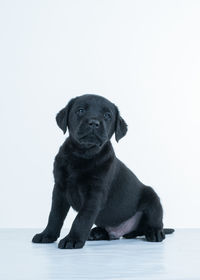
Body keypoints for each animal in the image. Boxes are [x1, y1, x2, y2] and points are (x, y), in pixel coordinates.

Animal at [31, 94, 173, 249]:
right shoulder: (59, 189)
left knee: (155, 219)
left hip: (152, 198)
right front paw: (47, 235)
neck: (82, 154)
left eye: (107, 115)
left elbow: (82, 218)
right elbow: (54, 215)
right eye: (80, 110)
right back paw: (97, 233)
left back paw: (155, 232)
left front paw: (72, 239)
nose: (94, 122)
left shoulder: (95, 194)